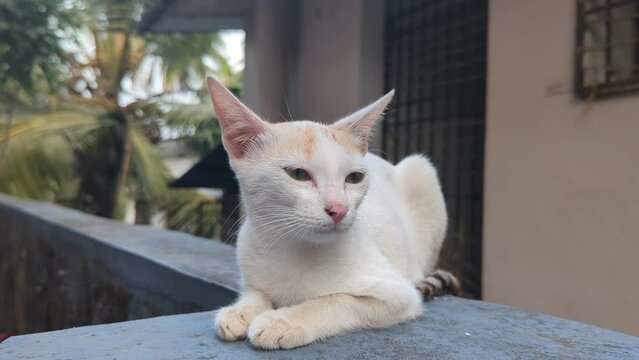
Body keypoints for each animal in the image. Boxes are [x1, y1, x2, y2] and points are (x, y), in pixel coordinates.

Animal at [209, 76, 450, 348]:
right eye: (298, 174)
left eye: (354, 178)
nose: (339, 209)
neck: (292, 249)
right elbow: (256, 292)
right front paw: (240, 310)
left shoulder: (398, 294)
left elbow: (336, 300)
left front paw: (282, 321)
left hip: (421, 170)